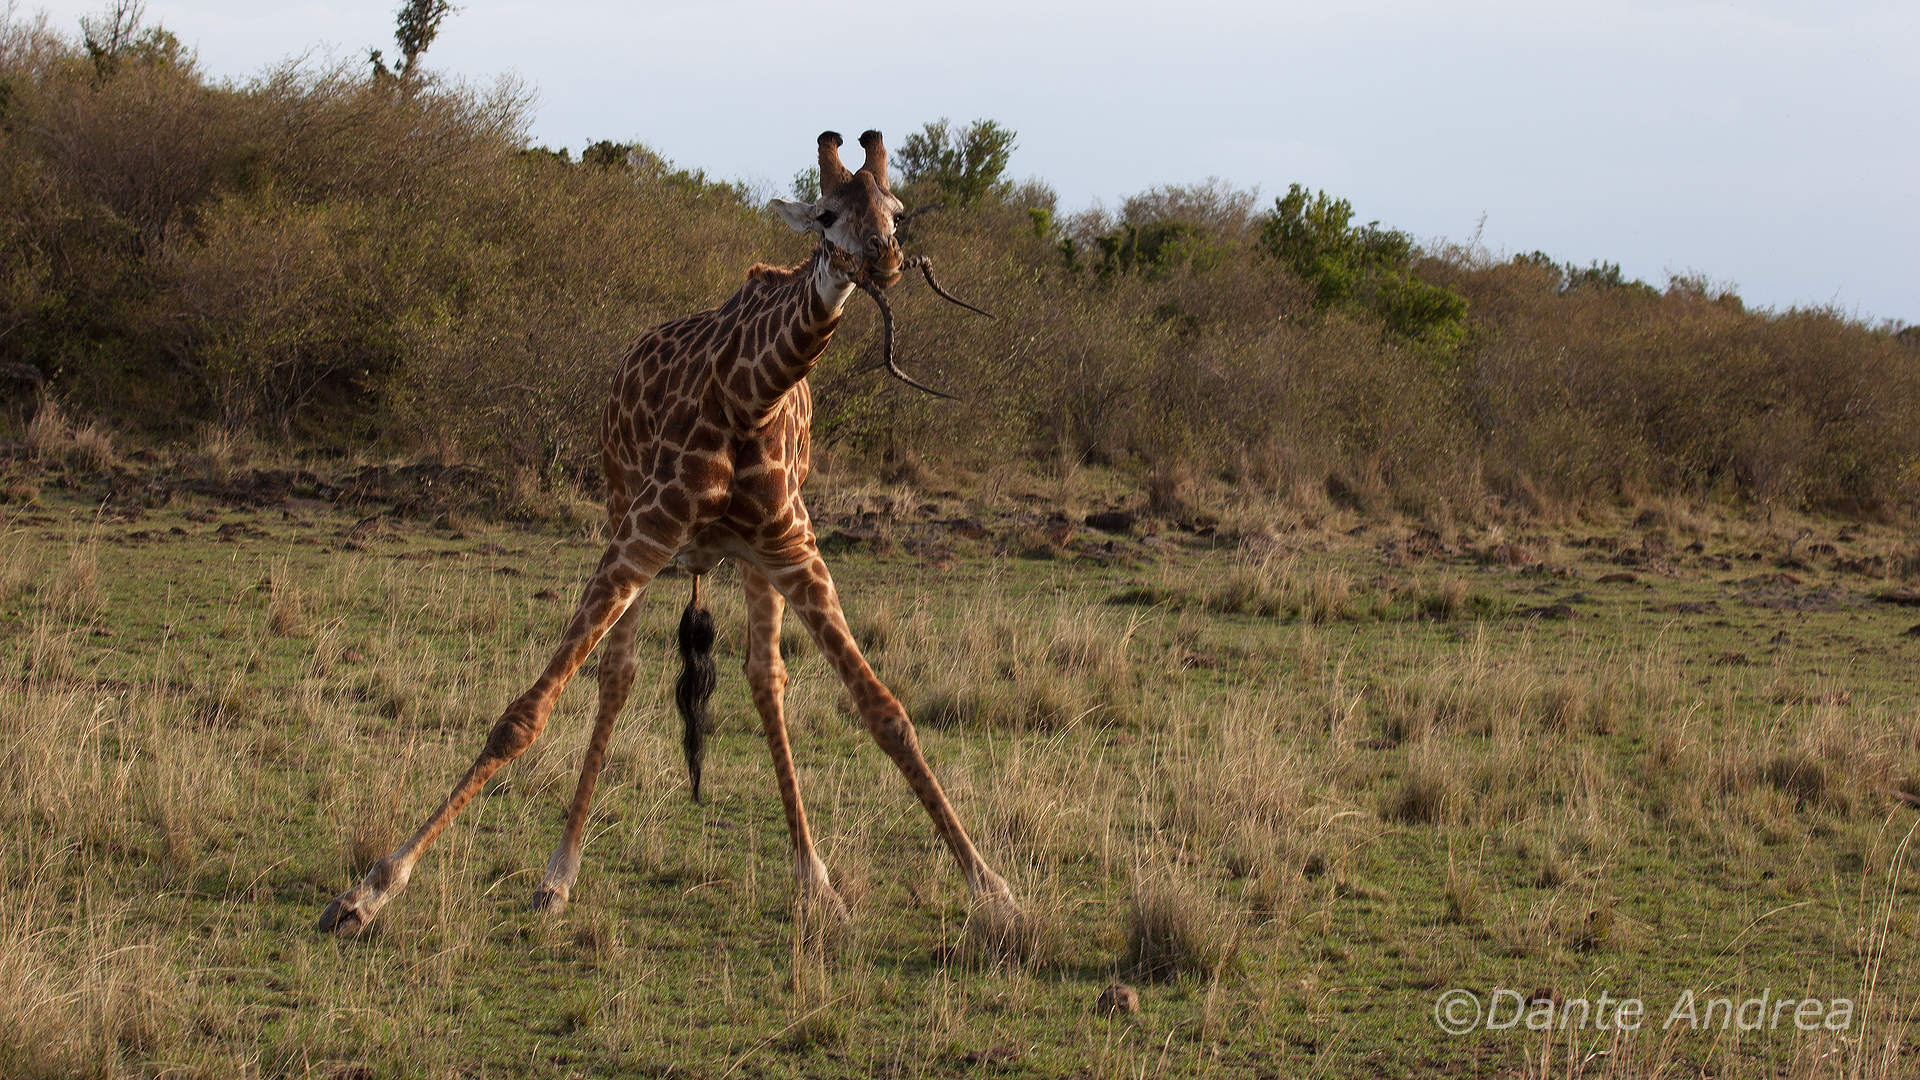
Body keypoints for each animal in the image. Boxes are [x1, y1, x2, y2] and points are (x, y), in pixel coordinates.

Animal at [317, 129, 1014, 936]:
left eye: (896, 211)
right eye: (824, 214)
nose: (885, 259)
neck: (750, 395)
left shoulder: (796, 548)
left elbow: (887, 713)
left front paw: (993, 888)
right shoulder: (643, 534)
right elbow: (524, 716)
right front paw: (368, 891)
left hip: (751, 560)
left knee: (764, 678)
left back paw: (814, 882)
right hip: (625, 519)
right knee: (617, 676)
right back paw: (559, 876)